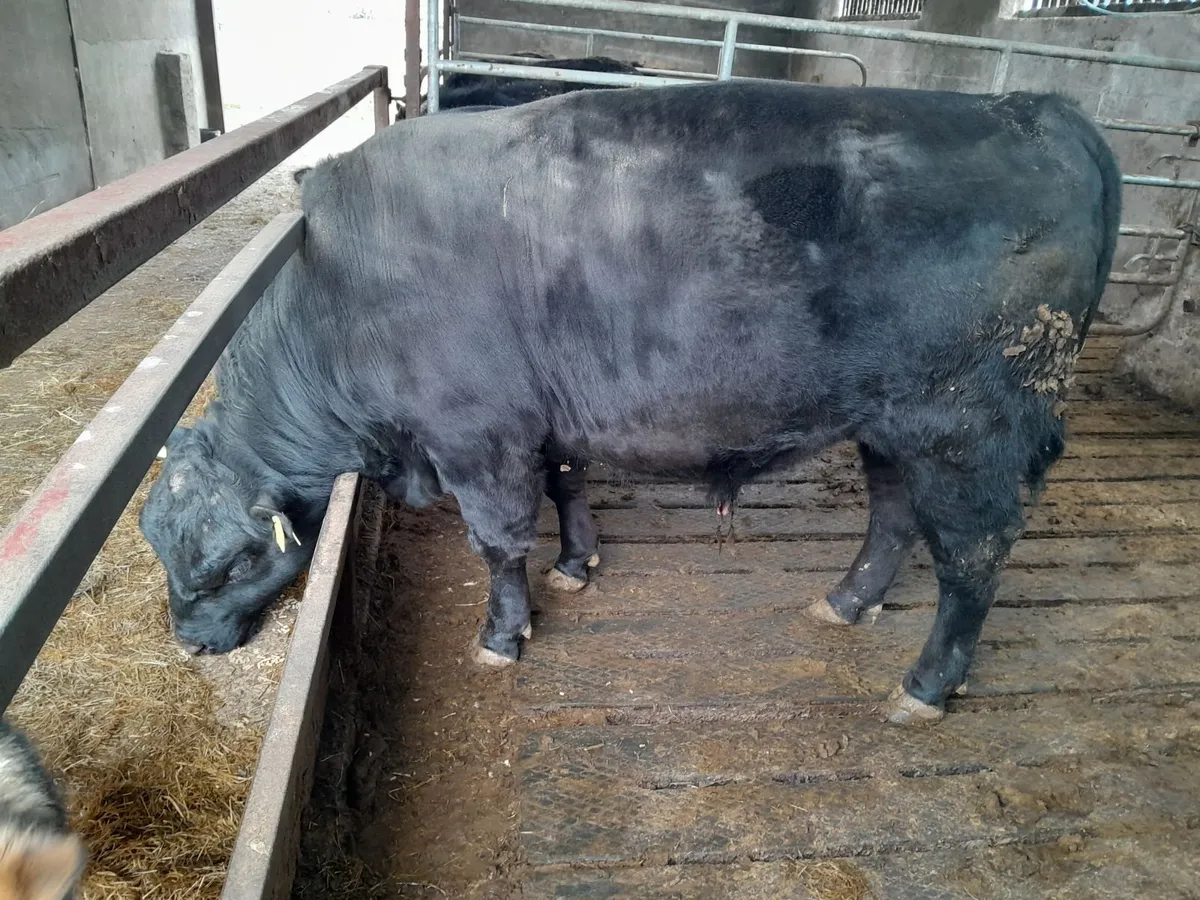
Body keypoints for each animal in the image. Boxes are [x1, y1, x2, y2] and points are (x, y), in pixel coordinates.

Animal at [139, 80, 1120, 726]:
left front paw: (503, 634)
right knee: (895, 514)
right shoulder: (547, 420)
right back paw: (846, 601)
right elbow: (568, 484)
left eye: (225, 566)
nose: (190, 643)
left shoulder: (477, 437)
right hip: (891, 421)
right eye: (162, 548)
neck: (338, 287)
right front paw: (577, 563)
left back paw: (927, 684)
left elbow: (499, 542)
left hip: (971, 426)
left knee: (974, 553)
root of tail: (1037, 108)